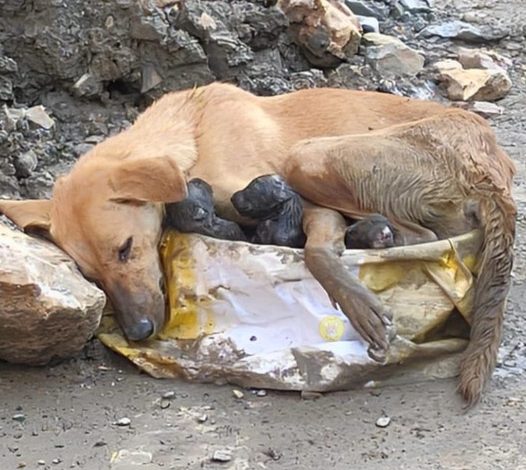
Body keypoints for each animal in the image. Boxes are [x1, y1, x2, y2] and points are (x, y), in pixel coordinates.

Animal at [0, 82, 516, 406]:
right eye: (92, 276)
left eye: (126, 249)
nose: (140, 332)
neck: (192, 137)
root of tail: (491, 160)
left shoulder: (305, 205)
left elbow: (316, 252)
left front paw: (357, 303)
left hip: (309, 156)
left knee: (422, 237)